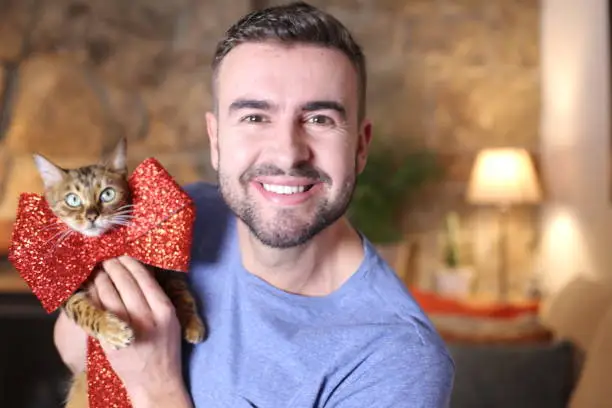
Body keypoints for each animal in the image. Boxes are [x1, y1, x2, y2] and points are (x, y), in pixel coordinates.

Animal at [32, 138, 206, 408]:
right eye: (73, 200)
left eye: (107, 194)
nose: (92, 216)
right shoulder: (68, 290)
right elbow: (83, 311)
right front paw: (112, 329)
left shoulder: (162, 265)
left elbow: (181, 291)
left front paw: (192, 323)